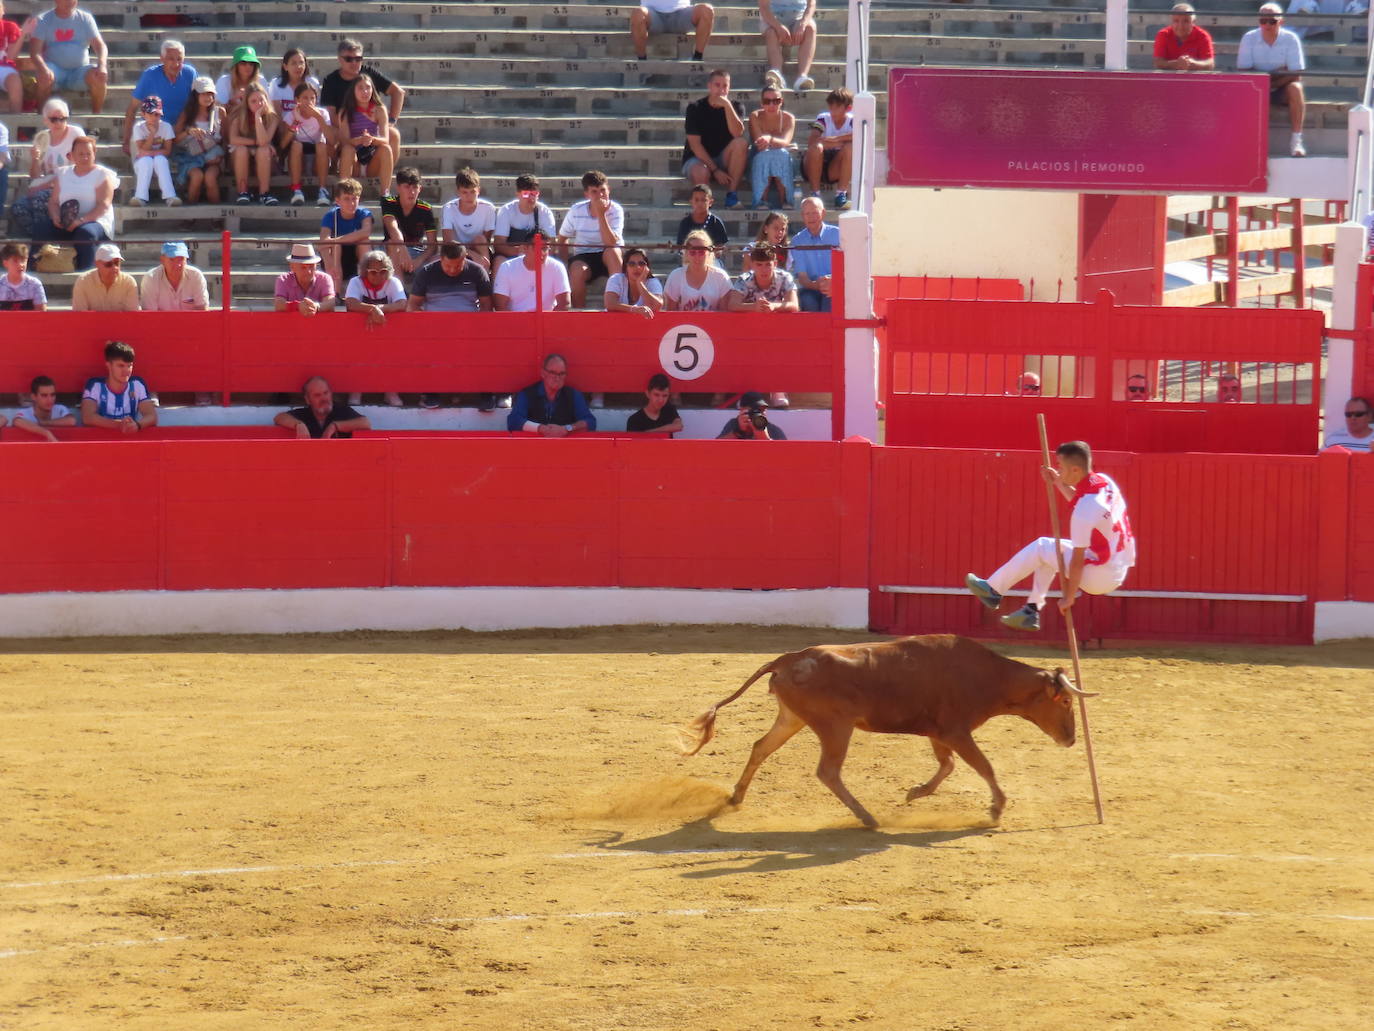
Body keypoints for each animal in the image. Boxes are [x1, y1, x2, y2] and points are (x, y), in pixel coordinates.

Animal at [678, 635, 1093, 830]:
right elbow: (982, 766)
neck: (987, 677)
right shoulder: (956, 731)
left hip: (792, 718)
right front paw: (996, 808)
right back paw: (867, 817)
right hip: (835, 726)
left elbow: (948, 766)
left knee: (761, 747)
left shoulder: (939, 733)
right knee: (828, 771)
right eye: (1065, 701)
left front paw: (915, 792)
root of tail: (789, 658)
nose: (1071, 738)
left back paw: (736, 797)